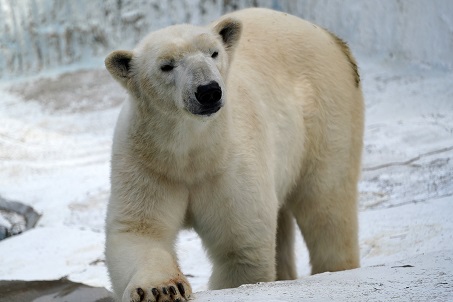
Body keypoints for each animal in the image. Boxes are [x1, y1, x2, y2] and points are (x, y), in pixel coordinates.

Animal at [104, 7, 362, 302]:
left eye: (213, 52)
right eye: (166, 65)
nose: (208, 91)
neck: (193, 154)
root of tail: (330, 36)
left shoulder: (230, 166)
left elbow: (240, 247)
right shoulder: (148, 165)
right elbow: (138, 232)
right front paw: (161, 289)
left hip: (325, 113)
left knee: (327, 205)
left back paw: (337, 266)